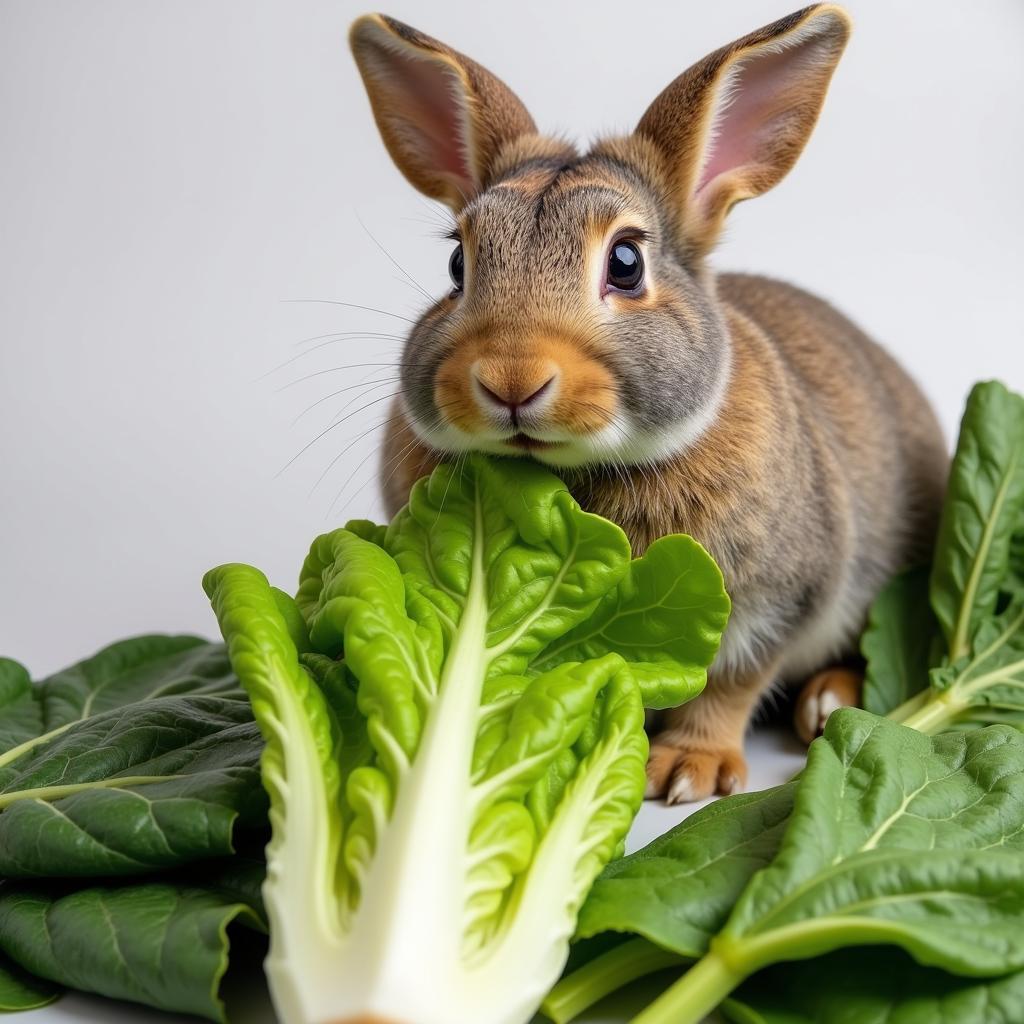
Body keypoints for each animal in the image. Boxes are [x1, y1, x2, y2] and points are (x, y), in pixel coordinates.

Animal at [348, 6, 946, 806]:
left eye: (626, 263)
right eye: (456, 264)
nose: (511, 379)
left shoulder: (778, 600)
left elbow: (729, 684)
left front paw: (688, 771)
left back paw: (827, 703)